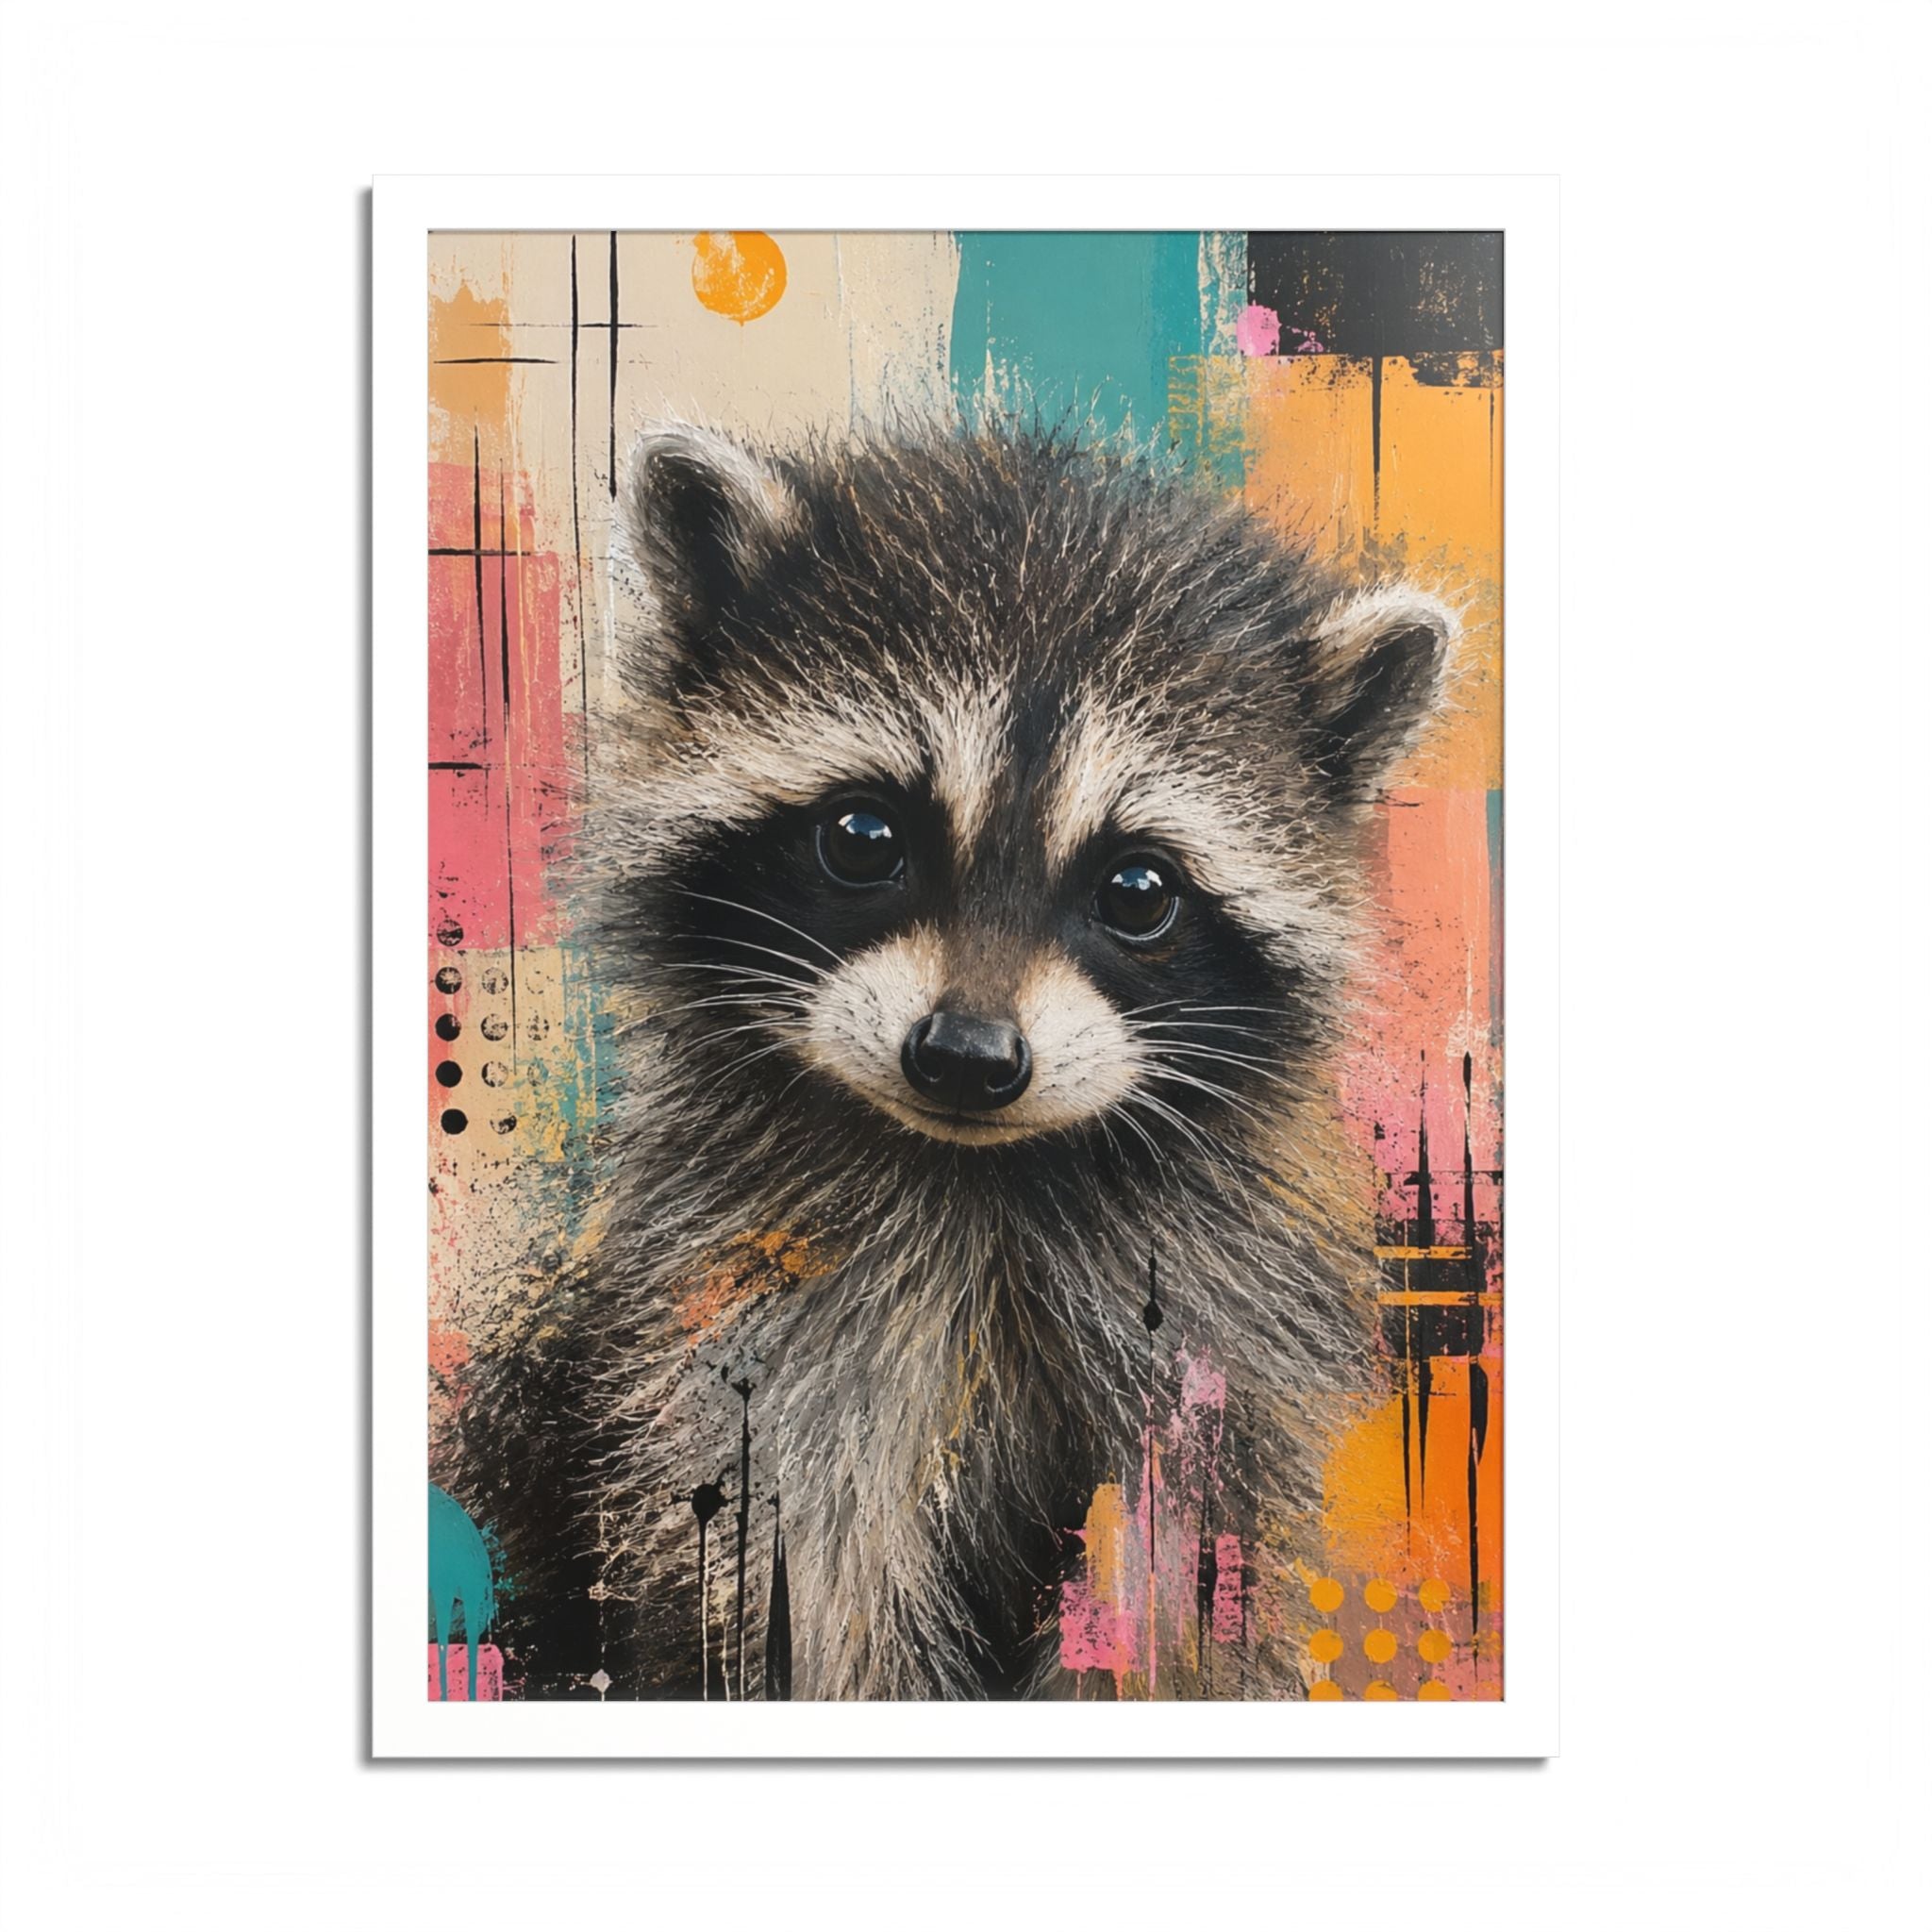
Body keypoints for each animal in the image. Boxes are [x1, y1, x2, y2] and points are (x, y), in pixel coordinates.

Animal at [453, 420, 1453, 1702]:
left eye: (1138, 888)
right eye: (862, 834)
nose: (967, 1058)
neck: (981, 1170)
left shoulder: (1219, 1352)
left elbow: (1179, 1601)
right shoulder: (748, 1333)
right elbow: (802, 1590)